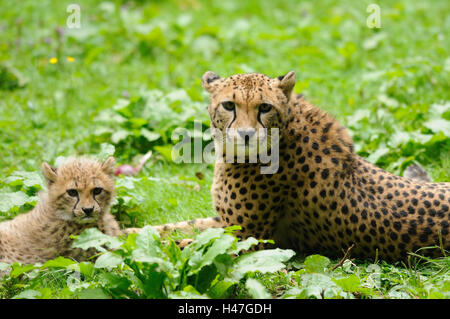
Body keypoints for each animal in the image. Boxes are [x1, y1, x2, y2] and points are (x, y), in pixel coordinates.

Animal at [156, 71, 448, 262]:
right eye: (229, 105)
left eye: (265, 107)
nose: (246, 134)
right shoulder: (226, 224)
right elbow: (179, 226)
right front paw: (146, 230)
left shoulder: (250, 242)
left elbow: (185, 245)